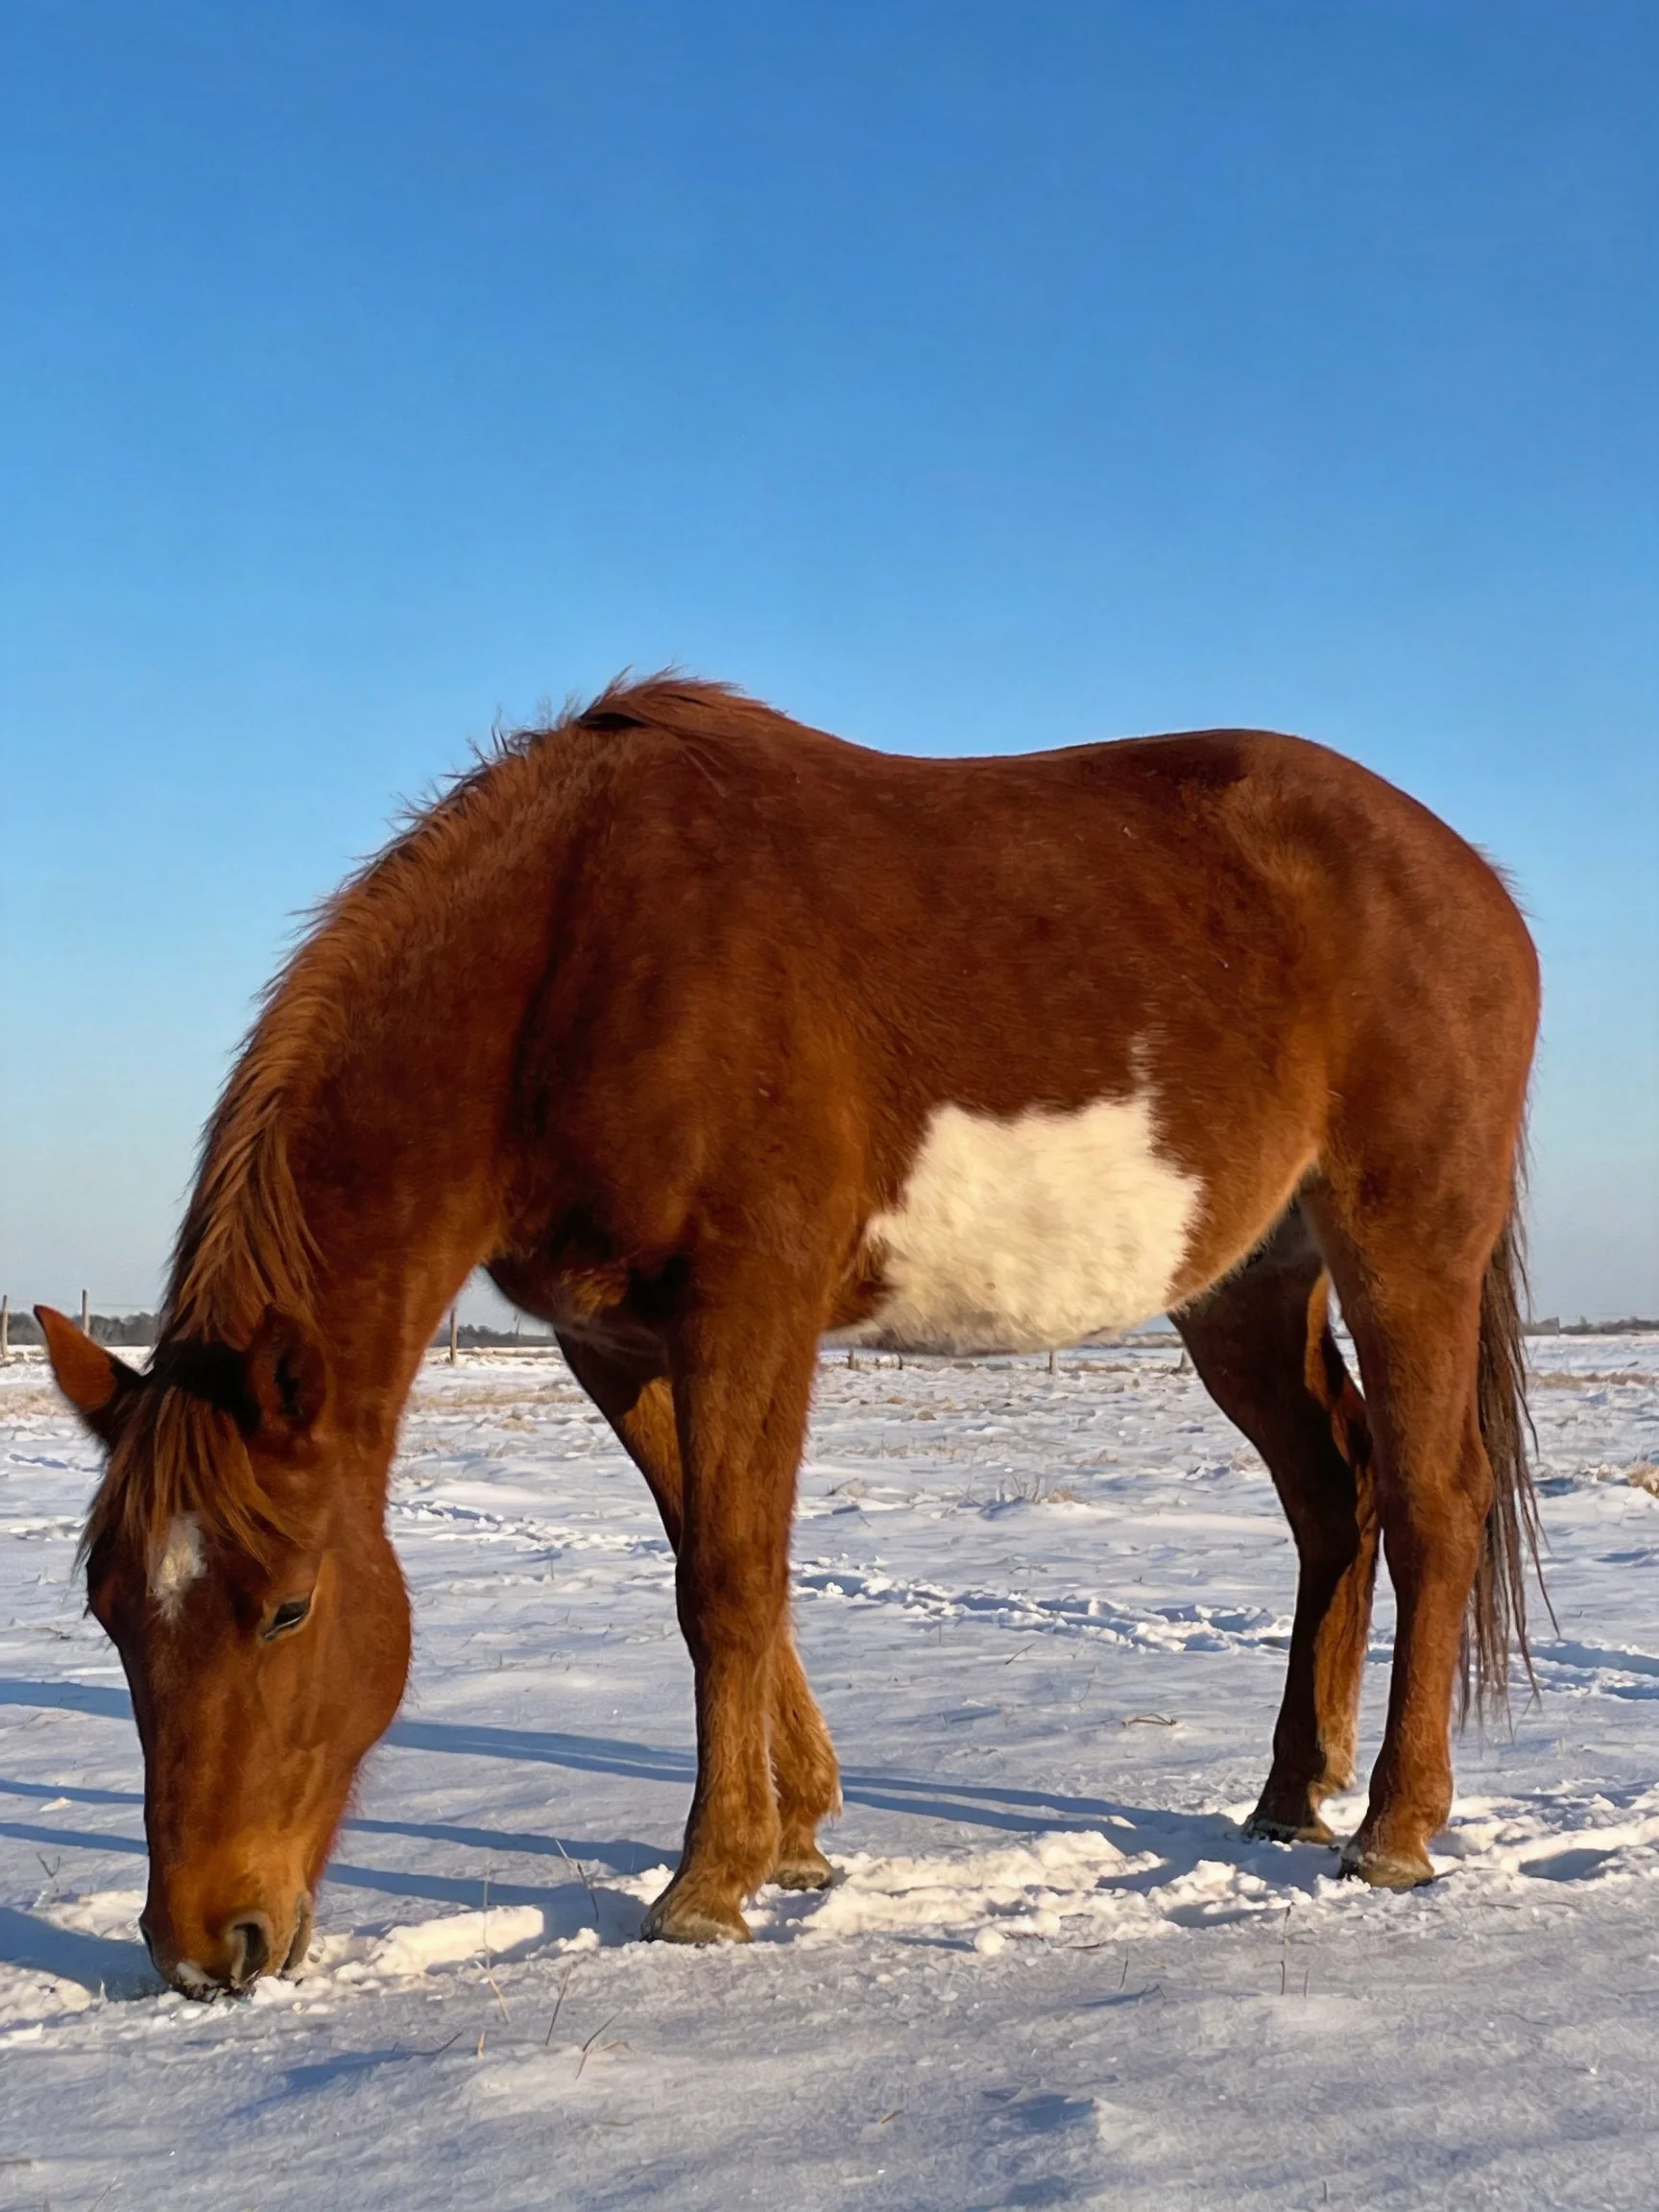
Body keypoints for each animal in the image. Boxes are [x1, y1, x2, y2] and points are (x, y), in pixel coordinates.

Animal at [38, 677, 1542, 1993]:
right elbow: (709, 1560)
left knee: (1430, 1500)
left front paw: (708, 1887)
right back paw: (1291, 1797)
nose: (203, 1949)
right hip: (1246, 1285)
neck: (571, 952)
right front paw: (801, 1835)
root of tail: (1472, 883)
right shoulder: (615, 1341)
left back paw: (1393, 1831)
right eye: (109, 1609)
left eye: (288, 1607)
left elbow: (730, 1582)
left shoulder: (748, 1302)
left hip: (1404, 1246)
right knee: (1331, 1496)